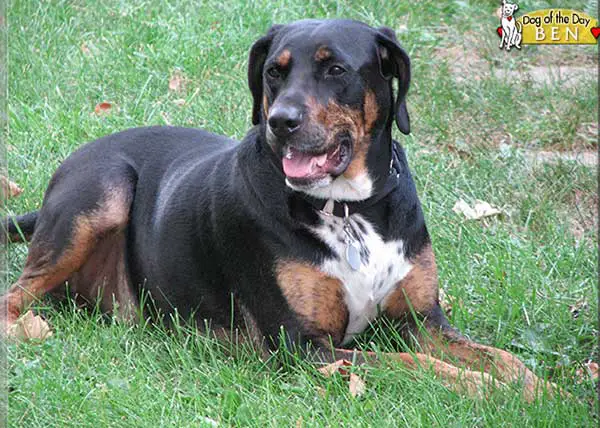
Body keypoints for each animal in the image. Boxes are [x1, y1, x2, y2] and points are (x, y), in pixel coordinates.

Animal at [1, 19, 552, 402]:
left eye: (336, 69)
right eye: (273, 72)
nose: (281, 120)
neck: (347, 209)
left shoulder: (422, 321)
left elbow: (500, 357)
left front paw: (541, 390)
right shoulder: (302, 346)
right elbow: (409, 364)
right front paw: (480, 388)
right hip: (105, 187)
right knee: (15, 294)